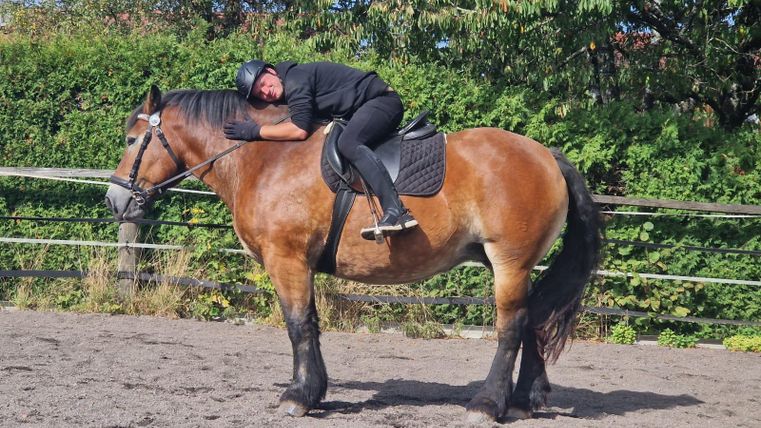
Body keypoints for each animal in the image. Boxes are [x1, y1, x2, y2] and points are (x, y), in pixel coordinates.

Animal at [105, 85, 602, 422]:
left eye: (132, 141)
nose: (115, 200)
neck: (265, 160)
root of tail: (545, 155)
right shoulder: (300, 264)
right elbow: (311, 324)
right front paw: (316, 391)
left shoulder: (286, 260)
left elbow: (298, 325)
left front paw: (298, 396)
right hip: (515, 264)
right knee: (533, 318)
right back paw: (524, 400)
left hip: (509, 262)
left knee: (511, 326)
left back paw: (488, 403)